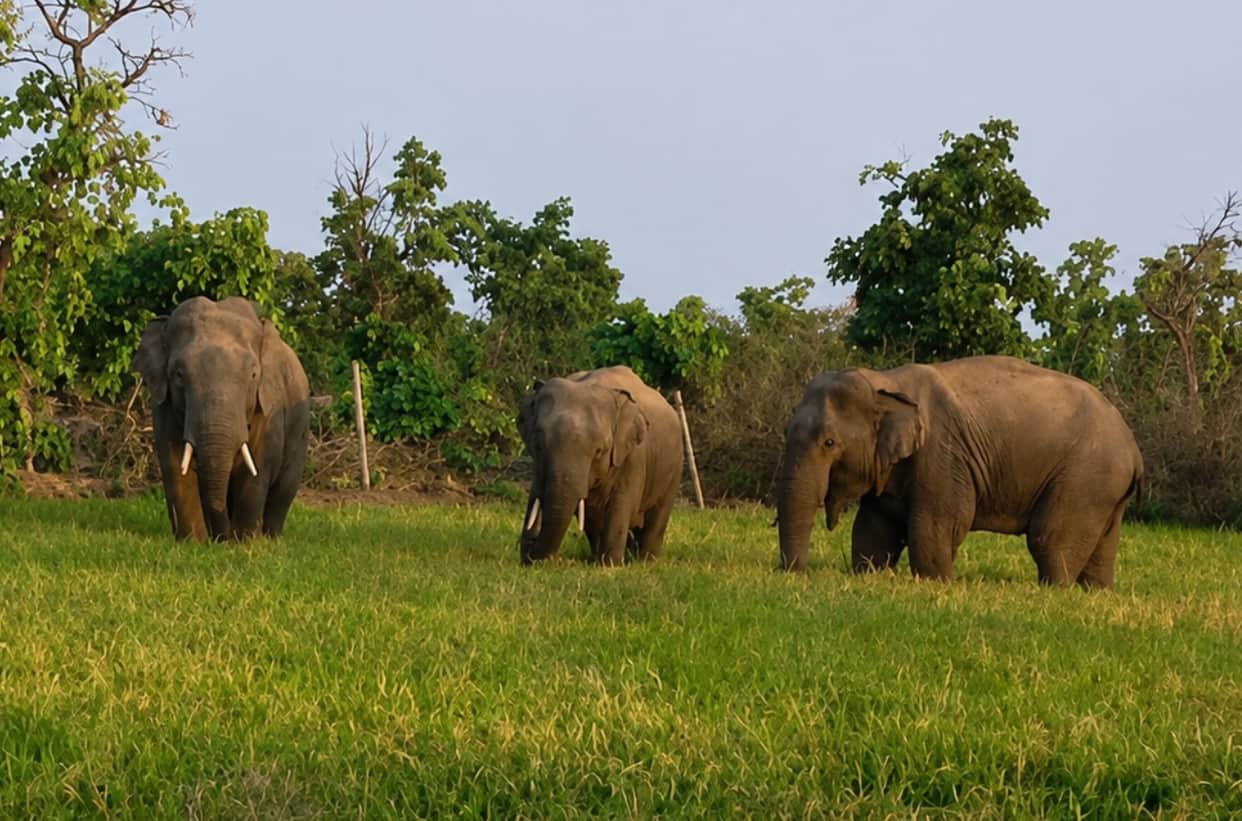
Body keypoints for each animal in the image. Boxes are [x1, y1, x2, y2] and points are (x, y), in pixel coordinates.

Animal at [132, 296, 310, 541]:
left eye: (253, 374)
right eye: (179, 374)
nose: (221, 540)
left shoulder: (268, 409)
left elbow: (257, 468)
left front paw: (245, 542)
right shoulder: (164, 407)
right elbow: (175, 467)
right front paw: (193, 543)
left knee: (284, 489)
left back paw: (269, 537)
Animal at [516, 365, 684, 566]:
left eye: (599, 451)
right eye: (538, 445)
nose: (530, 554)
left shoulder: (633, 457)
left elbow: (619, 506)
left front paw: (611, 566)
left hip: (674, 470)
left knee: (656, 518)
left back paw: (644, 561)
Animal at [776, 355, 1144, 588]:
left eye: (829, 442)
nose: (795, 575)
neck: (886, 380)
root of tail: (1133, 448)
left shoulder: (944, 455)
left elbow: (939, 524)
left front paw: (935, 584)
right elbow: (874, 527)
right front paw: (871, 576)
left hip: (1085, 478)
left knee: (1050, 540)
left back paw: (1055, 591)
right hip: (1106, 492)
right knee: (1100, 548)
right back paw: (1095, 591)